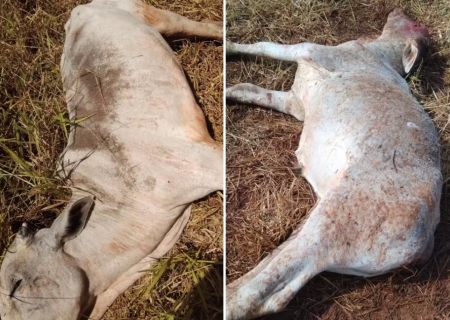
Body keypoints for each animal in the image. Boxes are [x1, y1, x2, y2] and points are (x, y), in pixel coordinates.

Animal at [227, 7, 442, 320]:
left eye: (415, 24)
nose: (401, 10)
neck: (380, 53)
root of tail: (425, 244)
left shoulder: (311, 50)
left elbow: (262, 47)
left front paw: (227, 46)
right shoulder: (295, 103)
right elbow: (251, 90)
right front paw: (228, 92)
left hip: (336, 221)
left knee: (268, 286)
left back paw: (229, 300)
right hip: (327, 222)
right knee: (282, 274)